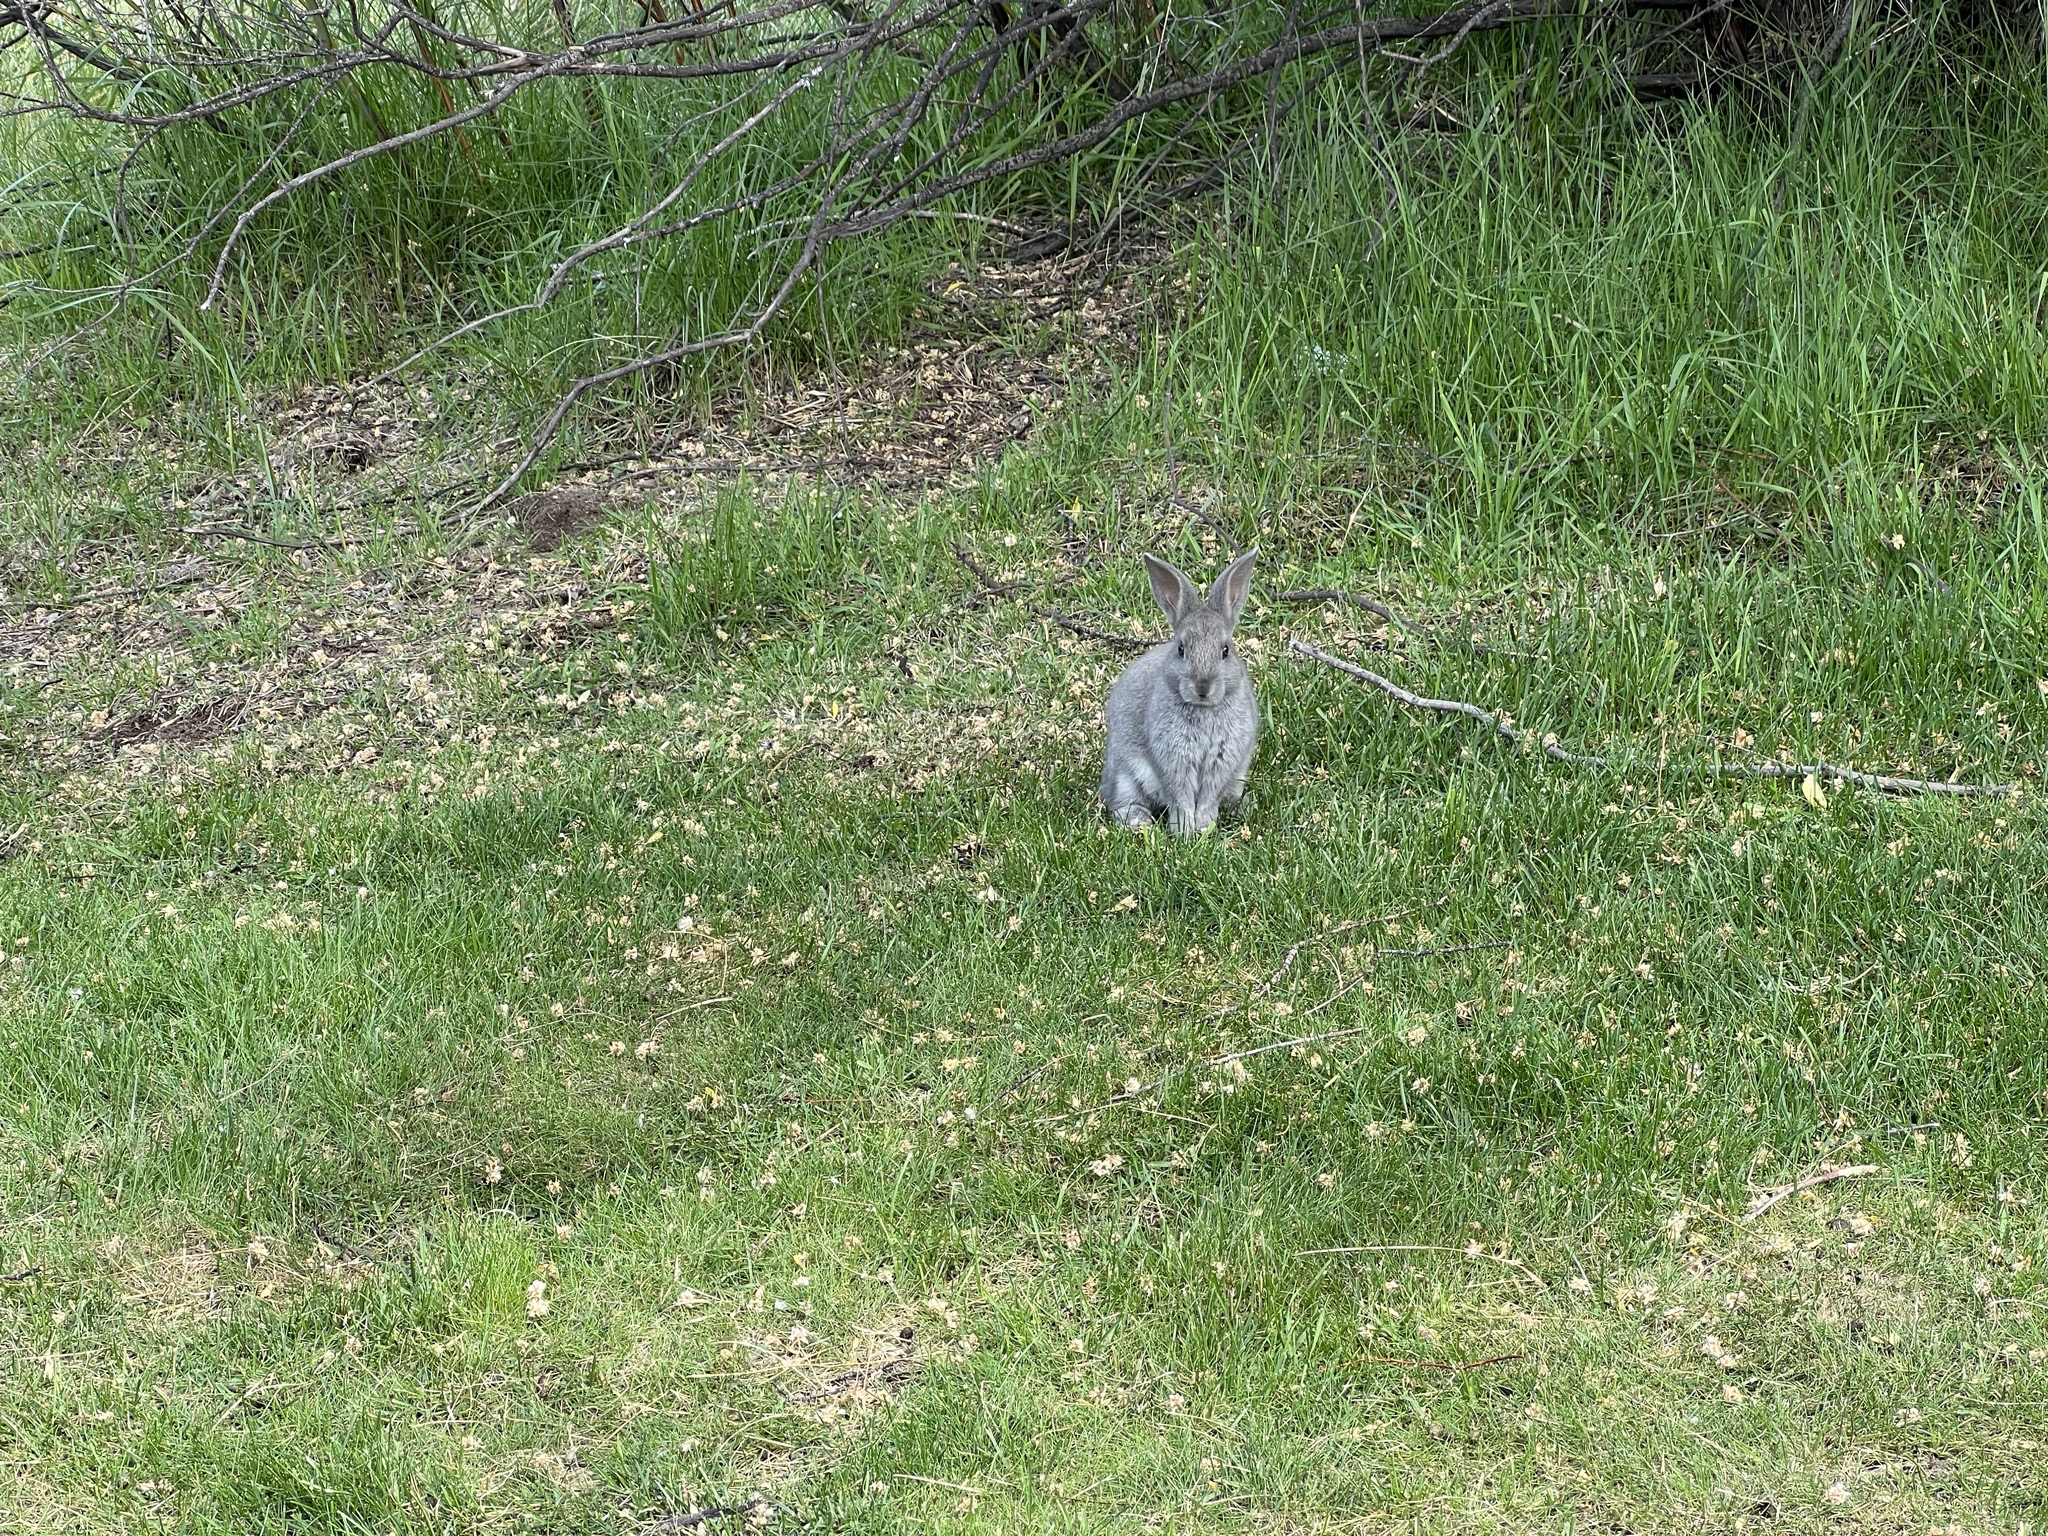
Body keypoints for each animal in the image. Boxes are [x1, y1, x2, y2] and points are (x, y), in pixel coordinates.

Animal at [1100, 548, 1259, 836]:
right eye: (1181, 649)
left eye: (1225, 650)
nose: (1202, 687)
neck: (1204, 709)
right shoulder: (1173, 758)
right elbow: (1180, 796)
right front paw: (1185, 831)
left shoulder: (1223, 759)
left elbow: (1208, 796)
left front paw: (1203, 827)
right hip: (1124, 774)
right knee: (1123, 800)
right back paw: (1140, 822)